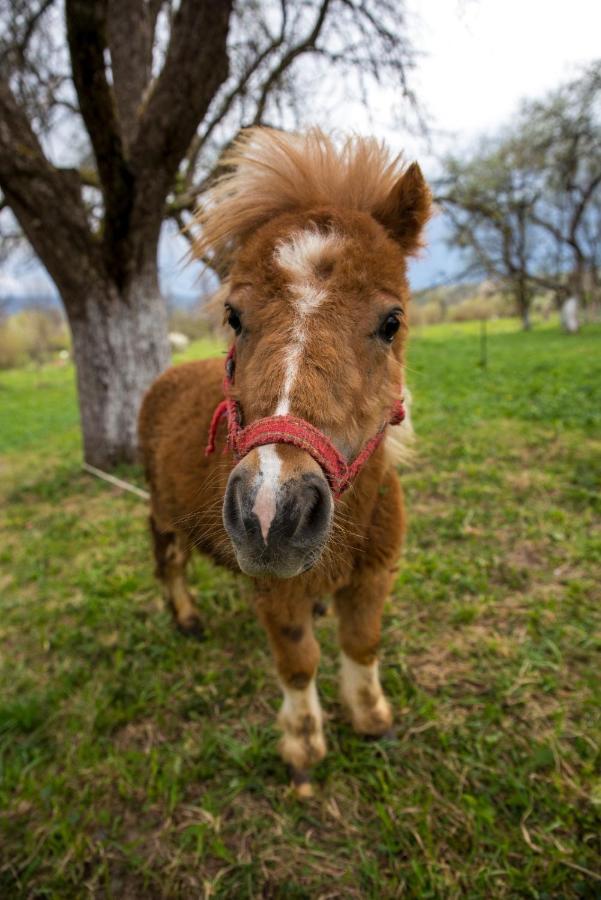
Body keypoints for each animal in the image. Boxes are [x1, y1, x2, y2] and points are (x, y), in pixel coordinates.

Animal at [139, 126, 432, 796]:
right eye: (234, 316)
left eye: (392, 321)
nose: (272, 513)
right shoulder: (276, 592)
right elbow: (299, 662)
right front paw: (303, 747)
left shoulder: (374, 575)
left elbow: (362, 643)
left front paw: (372, 719)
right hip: (164, 512)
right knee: (170, 559)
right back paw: (185, 617)